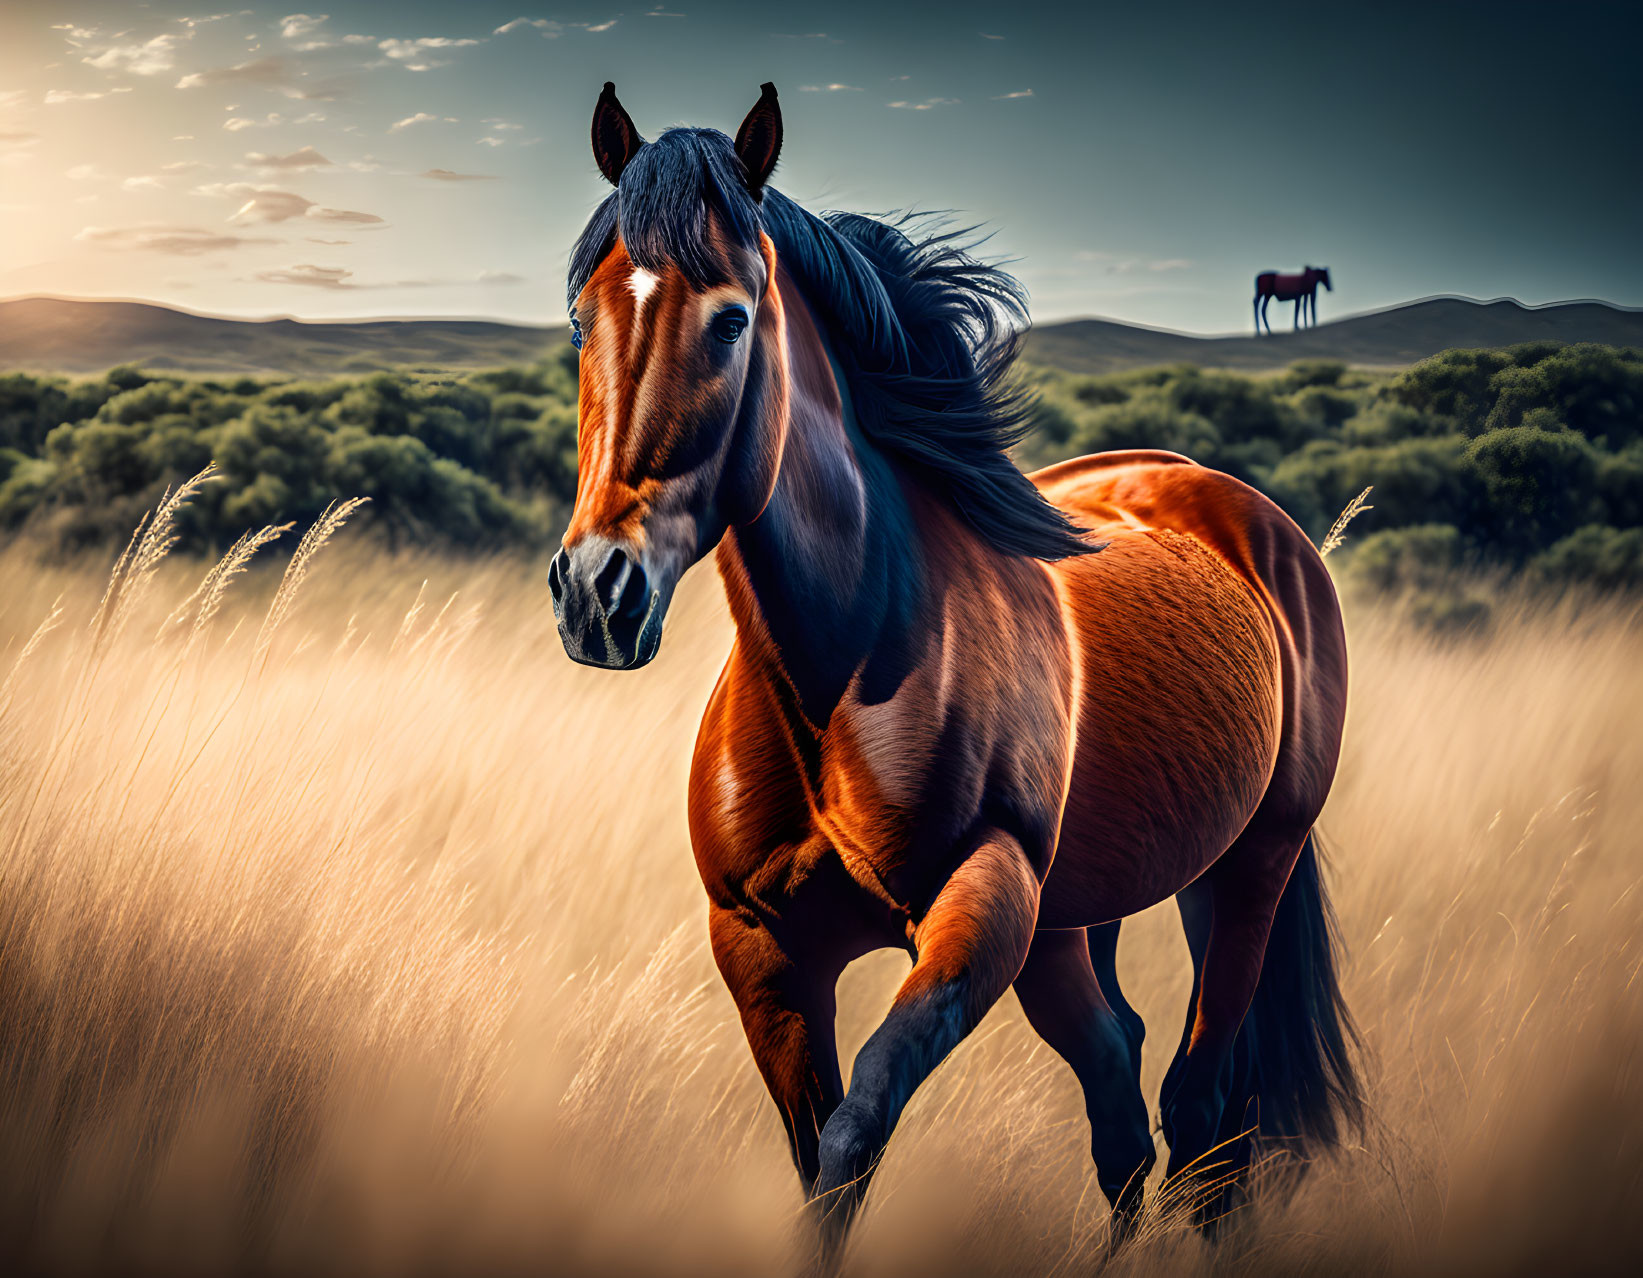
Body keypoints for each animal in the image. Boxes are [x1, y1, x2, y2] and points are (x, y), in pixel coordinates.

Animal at [552, 84, 1360, 1261]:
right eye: (580, 320)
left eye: (732, 320)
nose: (594, 593)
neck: (838, 679)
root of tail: (1241, 508)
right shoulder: (761, 948)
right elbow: (818, 1161)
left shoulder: (981, 911)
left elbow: (855, 1134)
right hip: (1085, 914)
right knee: (1124, 1090)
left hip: (1246, 865)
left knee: (1201, 1107)